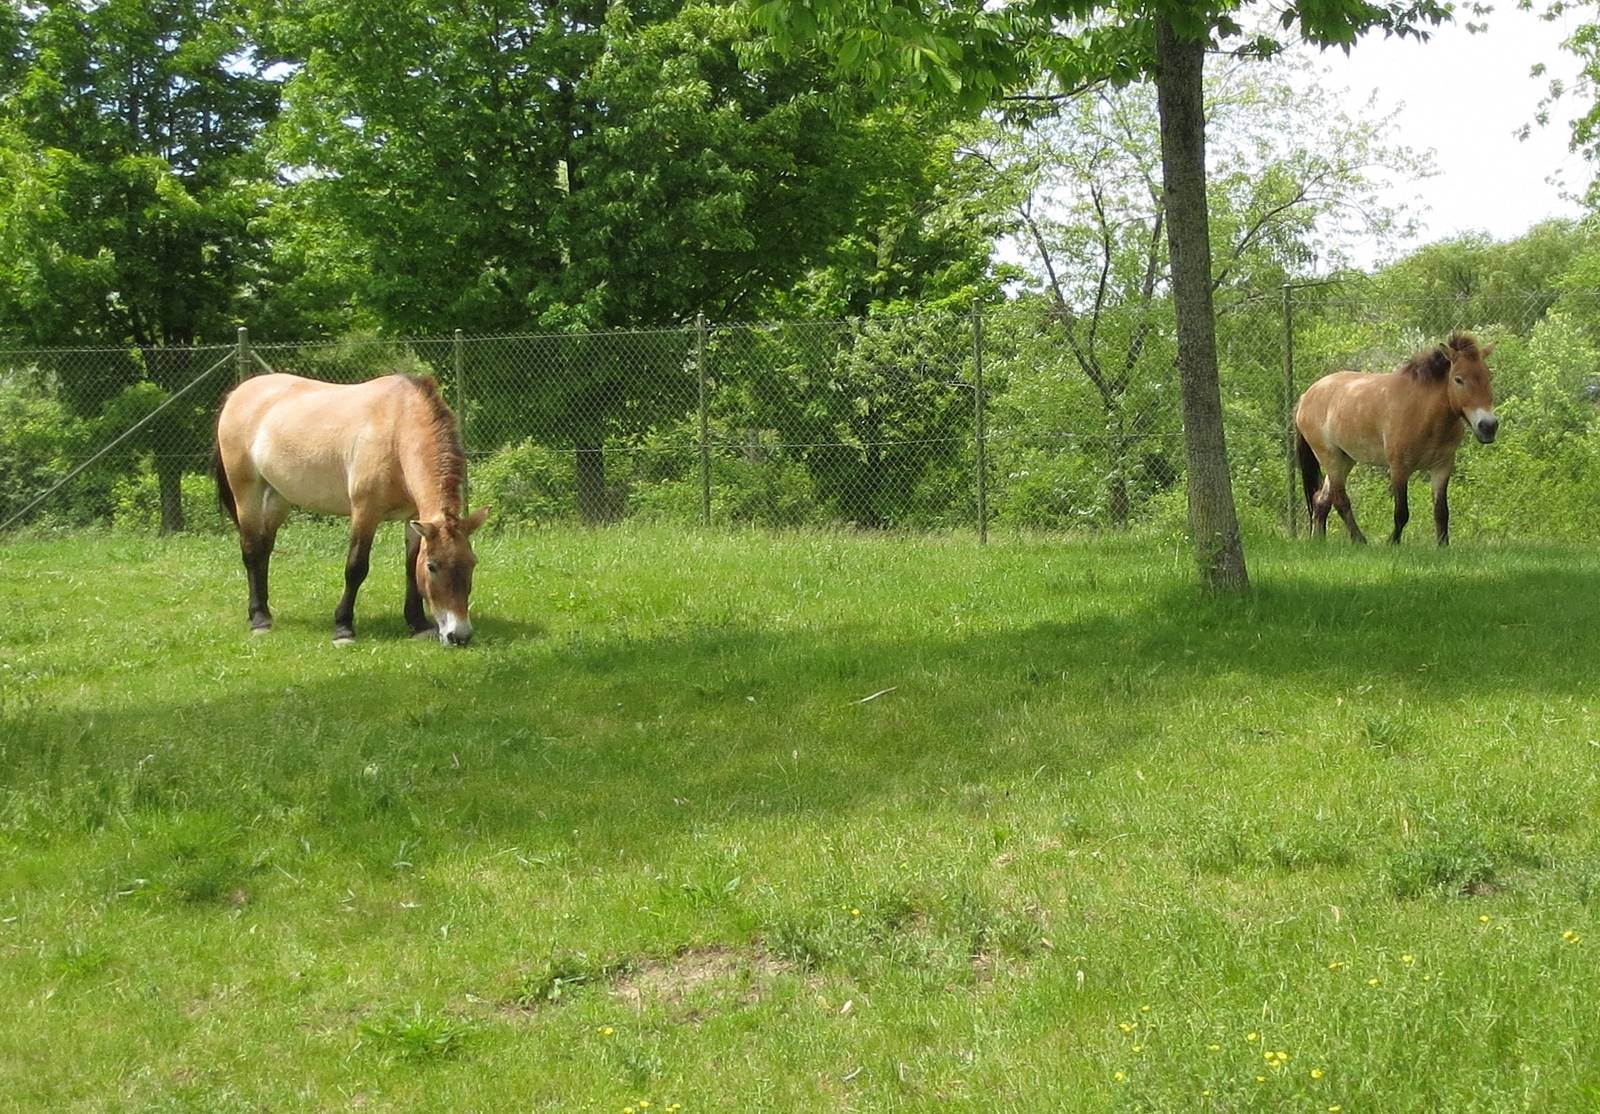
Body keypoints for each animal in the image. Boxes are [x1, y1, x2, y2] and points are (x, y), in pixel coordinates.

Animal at [214, 373, 489, 645]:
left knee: (264, 550)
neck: (396, 431)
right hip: (247, 493)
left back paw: (264, 612)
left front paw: (418, 624)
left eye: (472, 562)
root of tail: (238, 393)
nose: (459, 635)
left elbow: (410, 567)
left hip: (277, 498)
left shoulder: (414, 517)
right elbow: (356, 567)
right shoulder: (365, 512)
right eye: (433, 566)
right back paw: (259, 619)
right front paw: (343, 628)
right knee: (251, 550)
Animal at [1294, 331, 1497, 546]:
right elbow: (1401, 513)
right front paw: (1393, 542)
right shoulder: (1399, 467)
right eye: (1458, 379)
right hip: (1330, 457)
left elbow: (1441, 512)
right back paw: (1360, 540)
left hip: (1345, 459)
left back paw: (1318, 540)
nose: (1488, 426)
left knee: (1321, 500)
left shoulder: (1442, 467)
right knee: (1340, 500)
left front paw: (1443, 545)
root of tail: (1306, 396)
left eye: (1489, 377)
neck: (1423, 411)